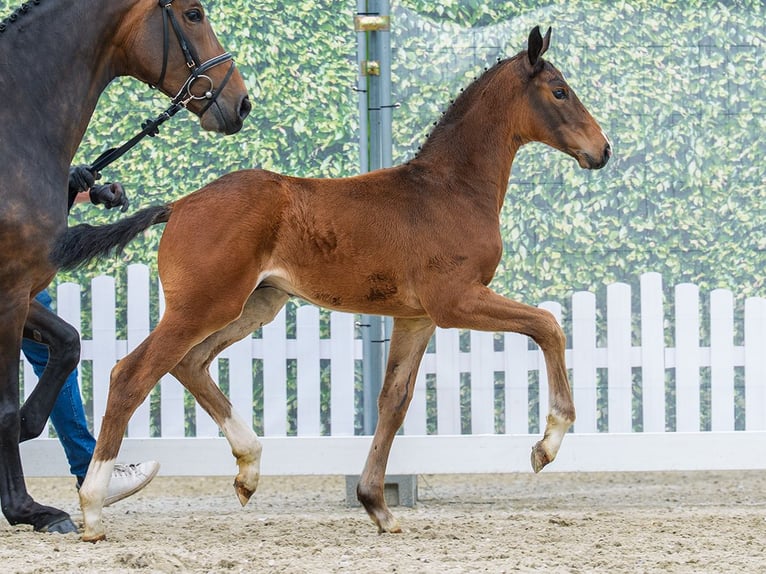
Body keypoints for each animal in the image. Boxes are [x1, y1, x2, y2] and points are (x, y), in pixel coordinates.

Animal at [0, 0, 251, 534]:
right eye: (193, 14)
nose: (239, 101)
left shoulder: (24, 290)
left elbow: (68, 344)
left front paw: (33, 429)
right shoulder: (9, 292)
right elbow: (7, 406)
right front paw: (29, 510)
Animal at [54, 26, 611, 542]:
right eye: (560, 91)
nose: (602, 150)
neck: (449, 189)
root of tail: (180, 204)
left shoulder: (416, 317)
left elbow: (394, 400)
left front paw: (377, 505)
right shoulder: (455, 302)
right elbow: (548, 325)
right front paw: (547, 445)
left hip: (254, 305)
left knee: (189, 363)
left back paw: (248, 469)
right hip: (203, 306)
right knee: (132, 374)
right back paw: (93, 509)